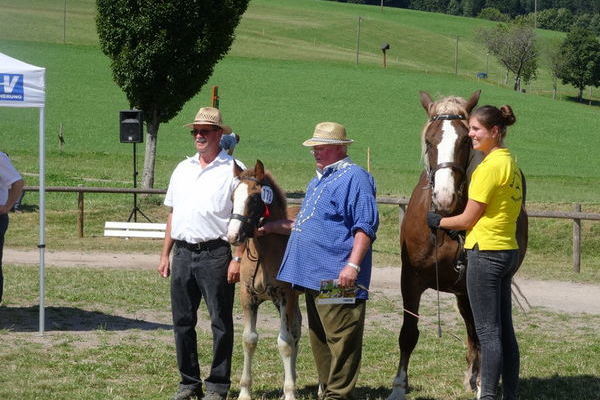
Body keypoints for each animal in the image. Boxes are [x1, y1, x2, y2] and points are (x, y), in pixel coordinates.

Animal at [226, 159, 300, 400]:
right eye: (233, 197)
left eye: (255, 198)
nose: (233, 236)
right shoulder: (247, 296)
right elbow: (249, 339)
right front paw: (244, 392)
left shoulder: (286, 296)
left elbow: (284, 343)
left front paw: (289, 393)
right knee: (297, 329)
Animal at [386, 91, 528, 400]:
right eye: (430, 141)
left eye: (465, 140)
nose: (444, 196)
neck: (445, 224)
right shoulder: (410, 280)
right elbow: (408, 333)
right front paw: (399, 386)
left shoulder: (473, 285)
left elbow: (484, 337)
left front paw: (481, 383)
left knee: (478, 334)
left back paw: (476, 378)